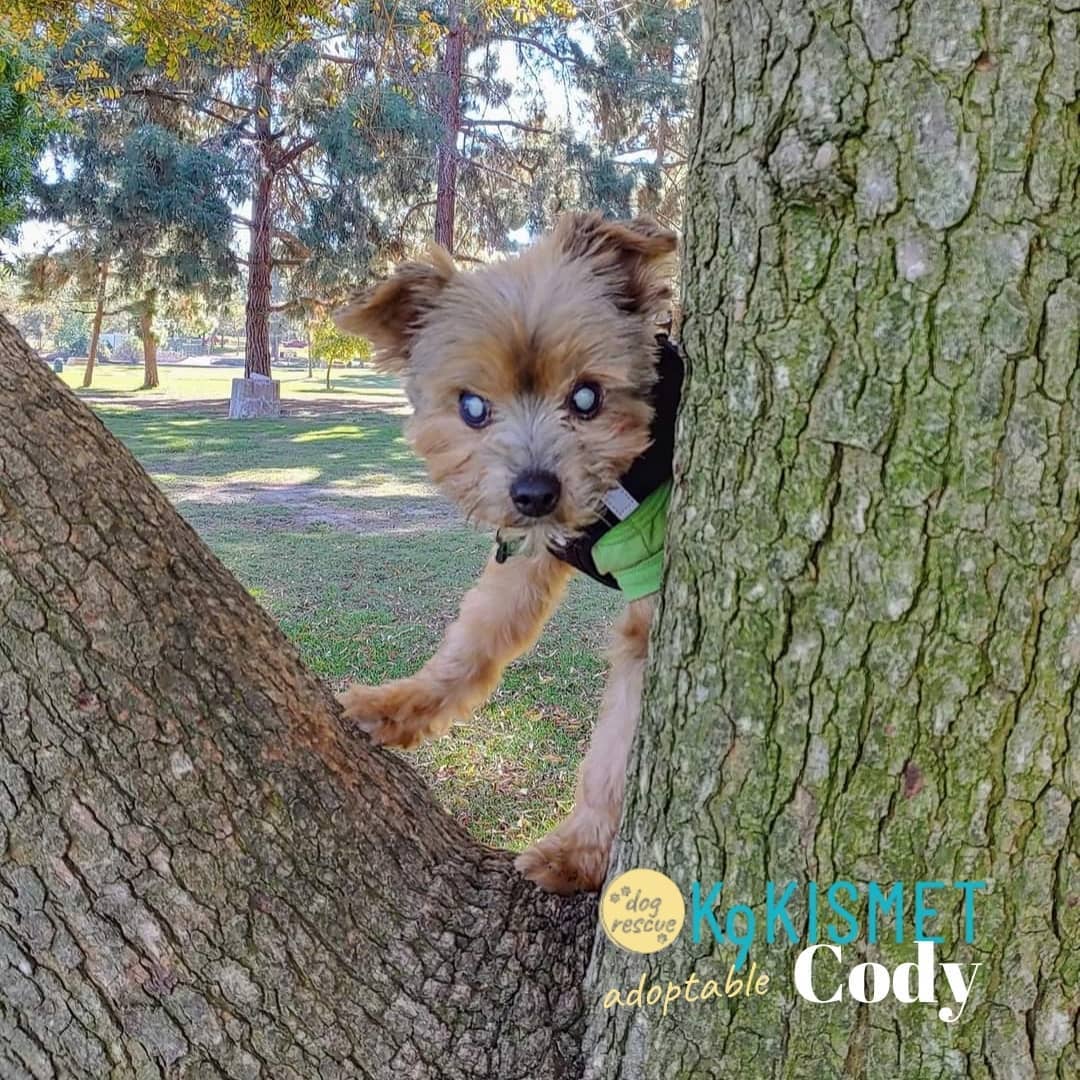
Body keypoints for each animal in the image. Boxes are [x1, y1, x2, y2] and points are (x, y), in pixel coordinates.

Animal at [332, 210, 678, 894]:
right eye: (472, 407)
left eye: (587, 397)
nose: (535, 491)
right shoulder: (530, 555)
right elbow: (478, 639)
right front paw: (399, 705)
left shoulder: (648, 606)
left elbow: (615, 750)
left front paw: (578, 856)